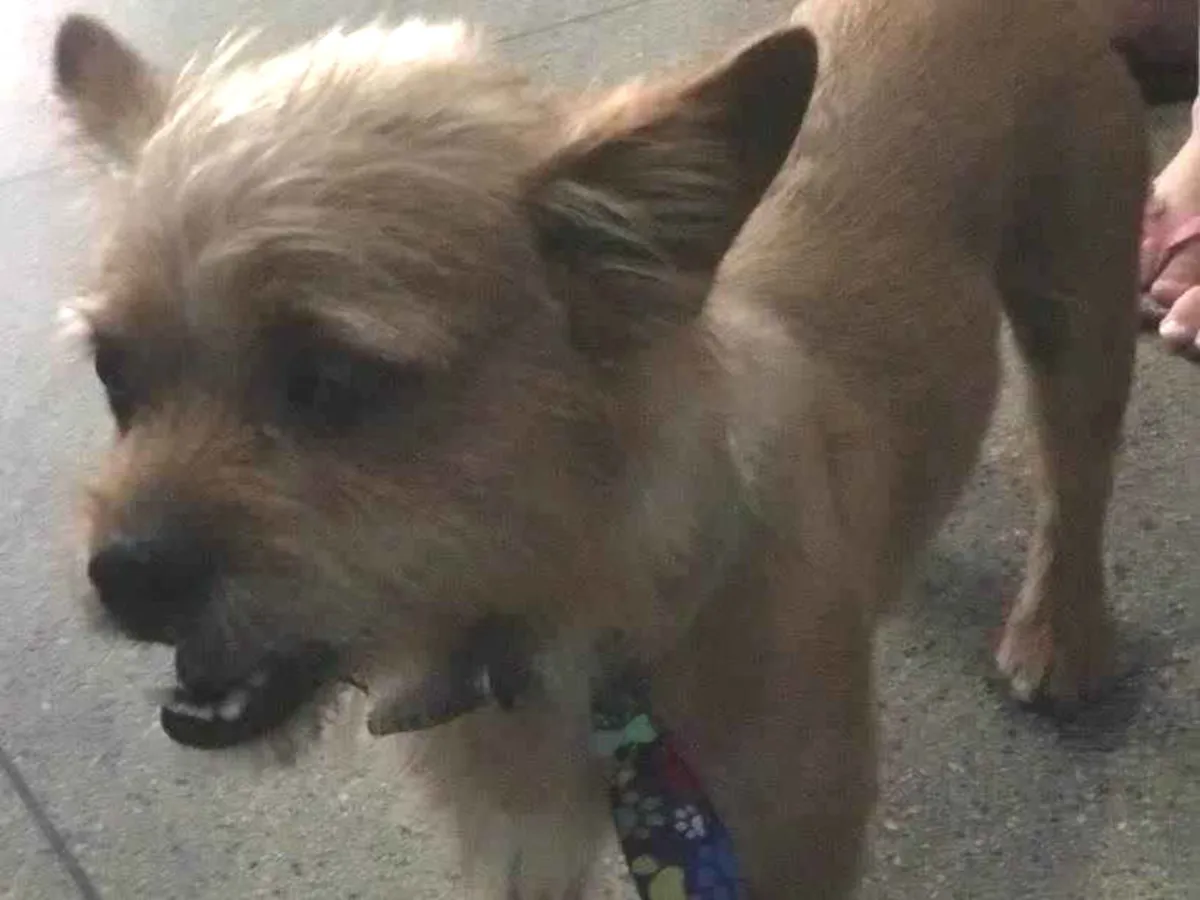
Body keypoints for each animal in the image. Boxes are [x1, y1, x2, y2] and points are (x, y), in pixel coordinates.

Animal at [53, 0, 1144, 895]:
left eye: (326, 382)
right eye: (114, 375)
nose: (124, 572)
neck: (581, 636)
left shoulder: (791, 843)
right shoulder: (520, 849)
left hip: (1081, 304)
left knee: (1077, 480)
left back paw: (1061, 629)